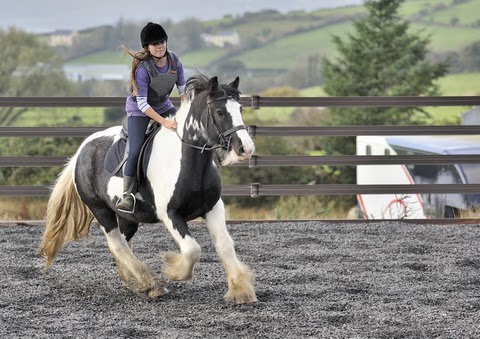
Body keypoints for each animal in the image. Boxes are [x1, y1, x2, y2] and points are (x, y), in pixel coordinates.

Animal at [40, 75, 256, 306]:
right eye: (220, 112)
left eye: (240, 109)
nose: (245, 148)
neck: (188, 162)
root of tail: (80, 153)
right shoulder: (170, 214)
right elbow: (192, 249)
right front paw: (173, 269)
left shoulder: (213, 208)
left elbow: (224, 245)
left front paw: (240, 291)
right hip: (101, 210)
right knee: (116, 244)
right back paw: (151, 284)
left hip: (127, 216)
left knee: (124, 243)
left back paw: (134, 281)